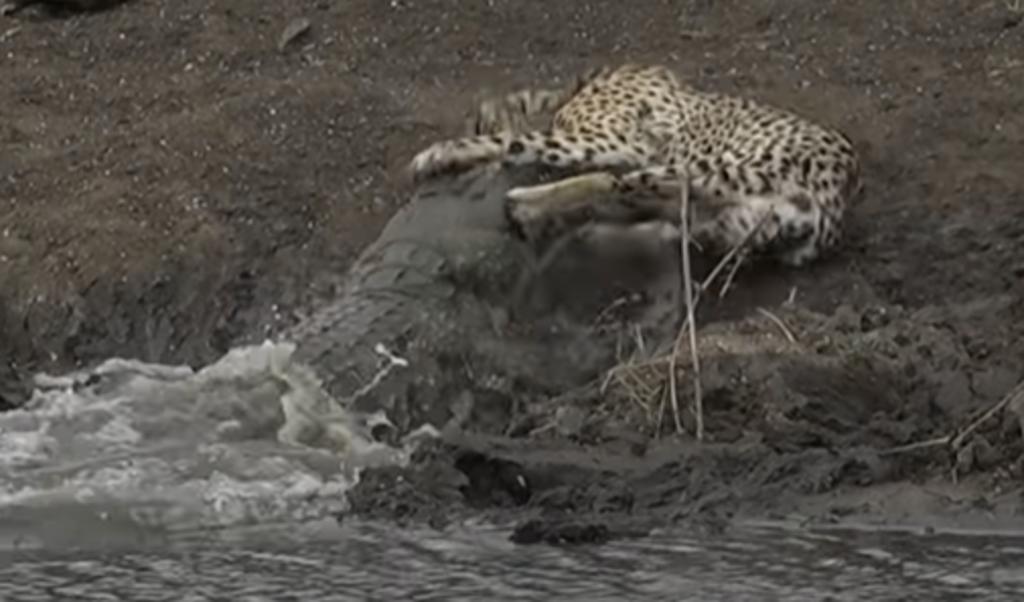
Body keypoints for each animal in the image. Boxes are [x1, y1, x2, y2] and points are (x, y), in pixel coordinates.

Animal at [407, 62, 864, 266]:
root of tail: (840, 189)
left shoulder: (618, 142)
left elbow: (510, 142)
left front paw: (438, 154)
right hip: (734, 223)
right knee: (669, 227)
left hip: (693, 171)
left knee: (610, 181)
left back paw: (525, 205)